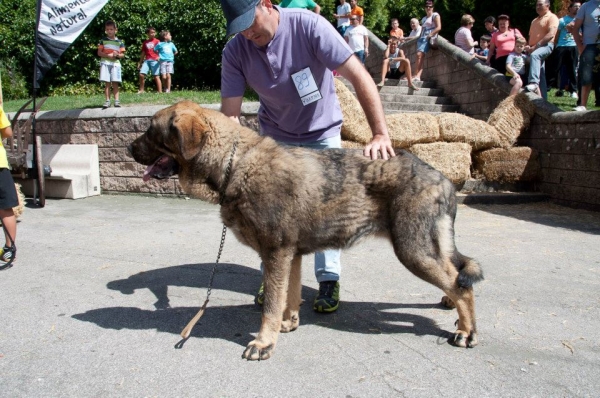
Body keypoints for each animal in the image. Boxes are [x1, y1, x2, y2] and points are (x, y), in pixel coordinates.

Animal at [130, 100, 482, 360]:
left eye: (149, 130)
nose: (129, 148)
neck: (235, 164)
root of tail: (442, 178)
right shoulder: (291, 255)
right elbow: (289, 296)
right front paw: (288, 324)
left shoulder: (276, 253)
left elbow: (271, 305)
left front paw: (263, 342)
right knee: (456, 276)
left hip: (413, 251)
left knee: (462, 287)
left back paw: (466, 331)